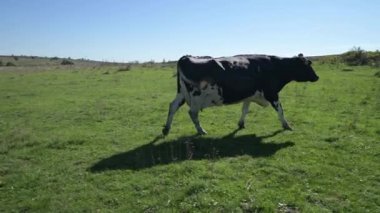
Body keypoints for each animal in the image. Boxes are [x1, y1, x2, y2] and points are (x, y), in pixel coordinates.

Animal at [162, 54, 320, 136]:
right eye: (307, 65)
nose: (317, 77)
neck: (276, 67)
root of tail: (186, 57)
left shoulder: (249, 95)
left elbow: (245, 109)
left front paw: (241, 124)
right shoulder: (272, 93)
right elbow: (280, 109)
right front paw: (287, 125)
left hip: (182, 94)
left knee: (172, 106)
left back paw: (166, 129)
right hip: (196, 97)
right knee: (192, 113)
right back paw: (201, 130)